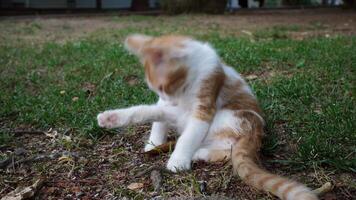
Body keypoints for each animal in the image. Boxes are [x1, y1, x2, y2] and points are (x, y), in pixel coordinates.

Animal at [96, 34, 318, 200]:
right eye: (157, 90)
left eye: (163, 87)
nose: (168, 100)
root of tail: (257, 131)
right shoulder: (168, 107)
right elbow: (153, 115)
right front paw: (150, 141)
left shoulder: (203, 107)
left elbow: (188, 136)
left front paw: (178, 160)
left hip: (226, 116)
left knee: (228, 149)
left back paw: (198, 153)